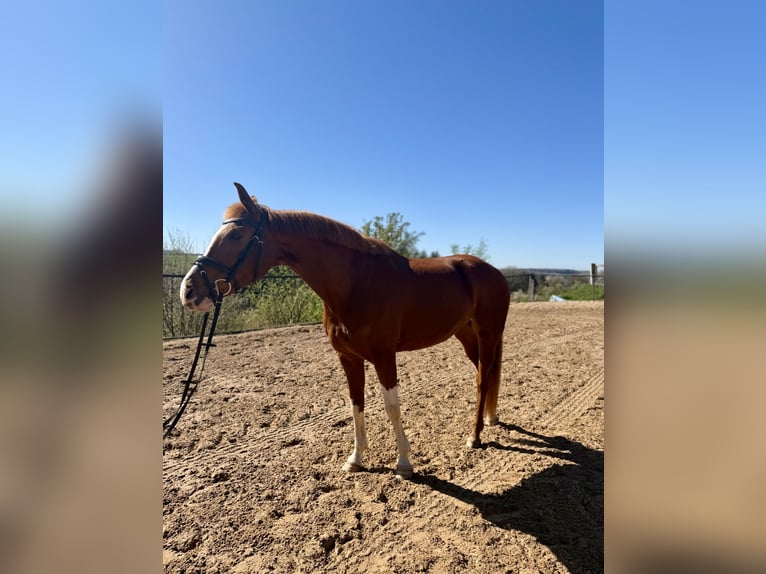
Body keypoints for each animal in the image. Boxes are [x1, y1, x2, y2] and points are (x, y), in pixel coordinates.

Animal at [180, 183, 511, 478]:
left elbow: (392, 407)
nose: (189, 291)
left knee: (483, 379)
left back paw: (475, 436)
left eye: (237, 234)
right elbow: (356, 405)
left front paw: (404, 463)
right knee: (484, 375)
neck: (355, 283)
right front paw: (356, 459)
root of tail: (493, 272)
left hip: (488, 334)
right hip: (466, 335)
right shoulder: (349, 358)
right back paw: (488, 420)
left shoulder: (384, 357)